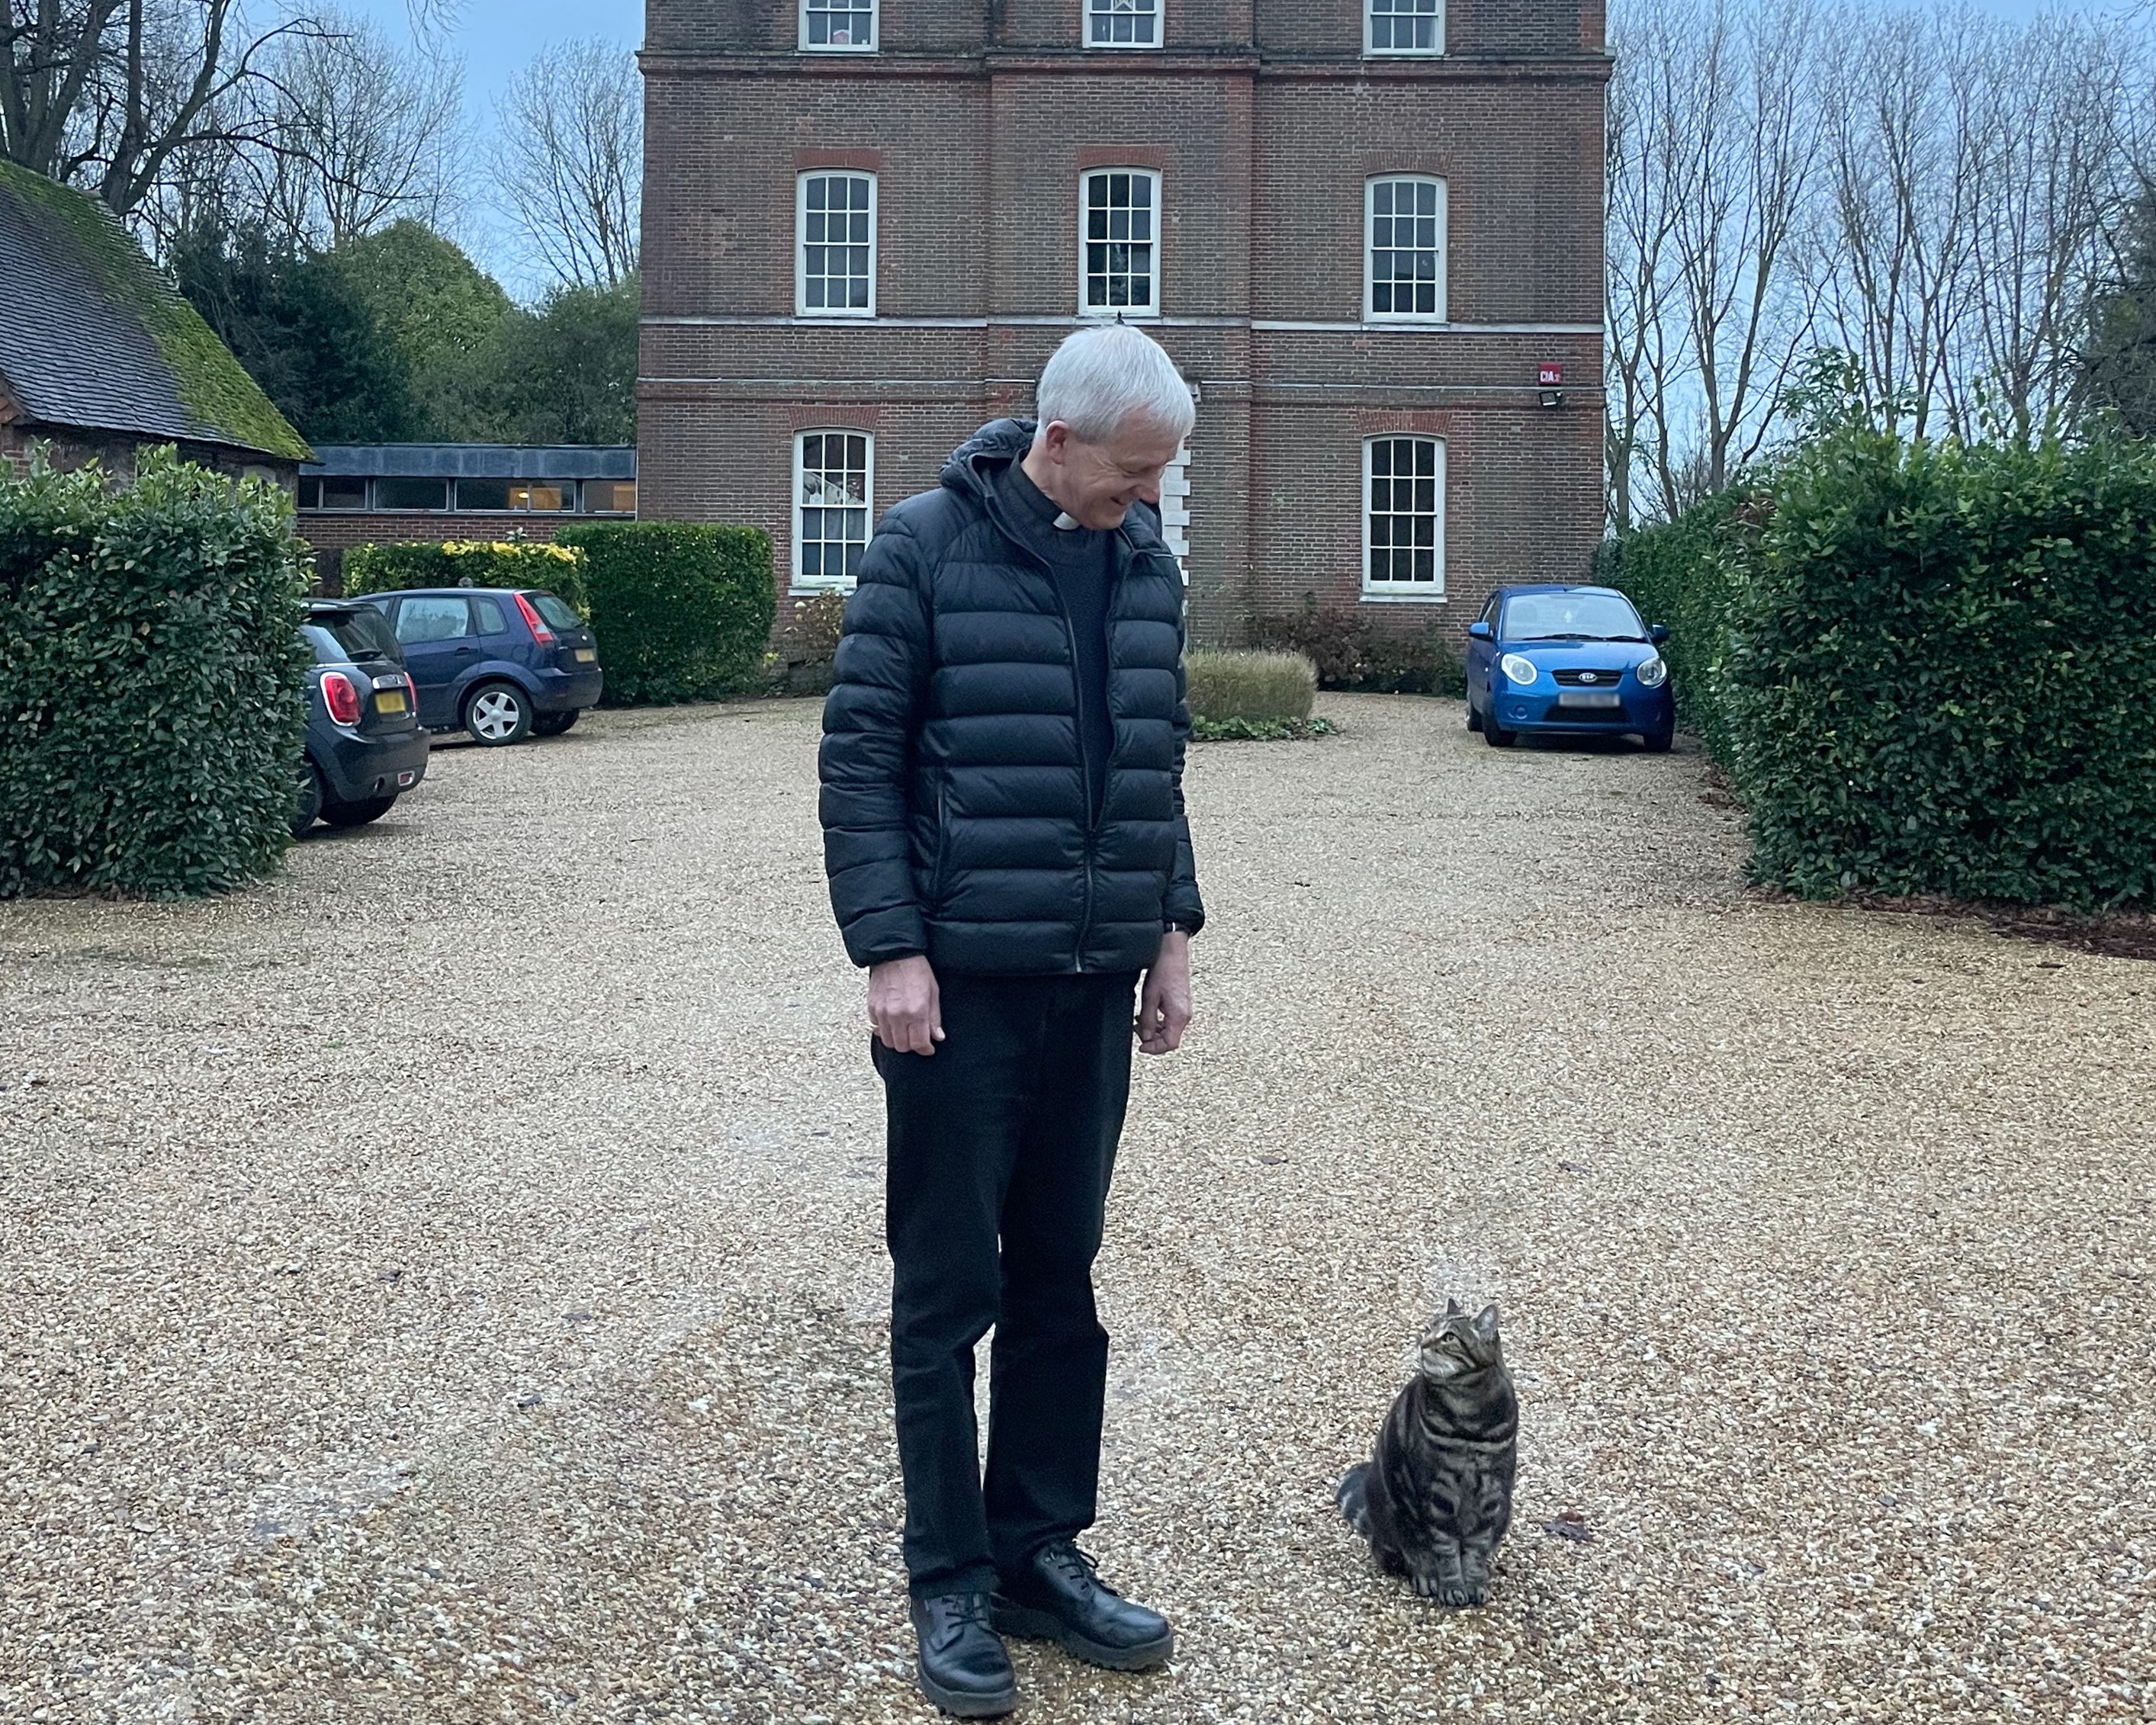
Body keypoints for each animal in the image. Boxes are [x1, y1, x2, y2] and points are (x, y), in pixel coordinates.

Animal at [1328, 1311, 1518, 1604]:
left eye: (1449, 1337)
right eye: (1428, 1329)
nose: (1424, 1342)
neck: (1469, 1414)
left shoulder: (1491, 1491)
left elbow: (1476, 1549)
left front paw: (1475, 1583)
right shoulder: (1438, 1493)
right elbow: (1446, 1549)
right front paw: (1452, 1587)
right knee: (1409, 1553)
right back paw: (1426, 1577)